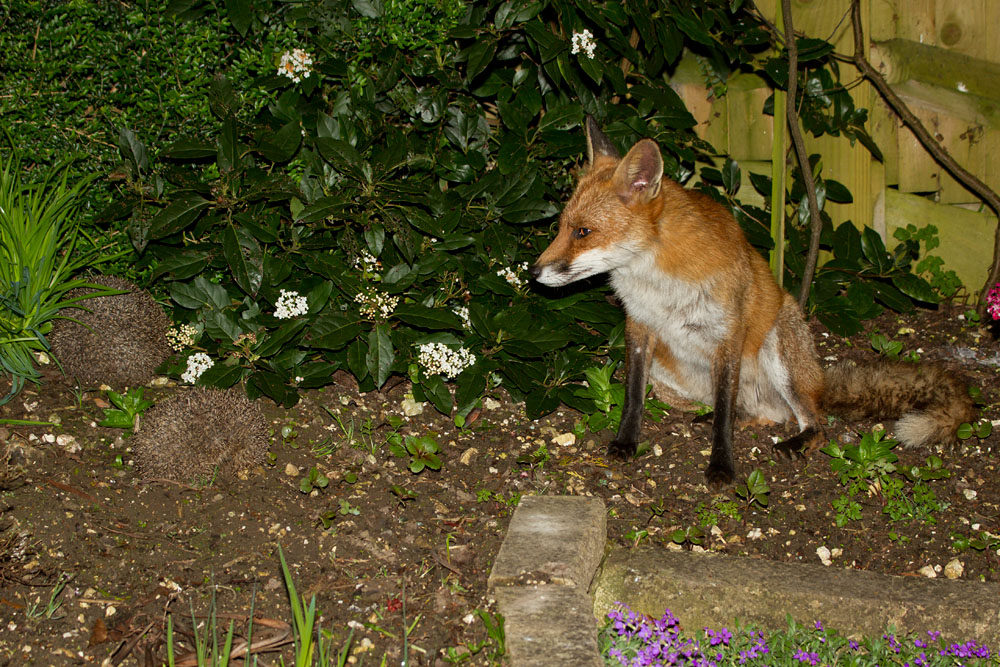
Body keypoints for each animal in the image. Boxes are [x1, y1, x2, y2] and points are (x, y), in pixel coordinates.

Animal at [530, 117, 976, 488]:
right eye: (561, 227)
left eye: (583, 232)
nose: (533, 273)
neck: (657, 282)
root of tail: (819, 379)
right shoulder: (639, 327)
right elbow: (633, 398)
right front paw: (626, 443)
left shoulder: (727, 334)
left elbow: (725, 418)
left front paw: (722, 468)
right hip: (668, 373)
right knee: (754, 413)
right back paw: (719, 416)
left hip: (779, 348)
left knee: (816, 423)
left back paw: (796, 441)